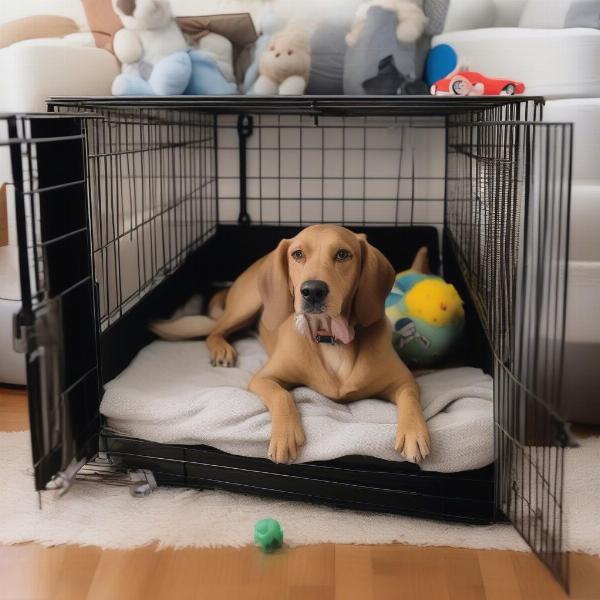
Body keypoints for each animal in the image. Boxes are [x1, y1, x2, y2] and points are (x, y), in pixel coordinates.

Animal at [152, 225, 428, 464]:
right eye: (297, 254)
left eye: (342, 254)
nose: (313, 290)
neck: (331, 340)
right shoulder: (263, 378)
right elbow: (282, 395)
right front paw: (285, 435)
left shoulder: (404, 380)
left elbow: (410, 399)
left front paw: (414, 432)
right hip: (247, 304)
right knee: (214, 330)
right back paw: (222, 348)